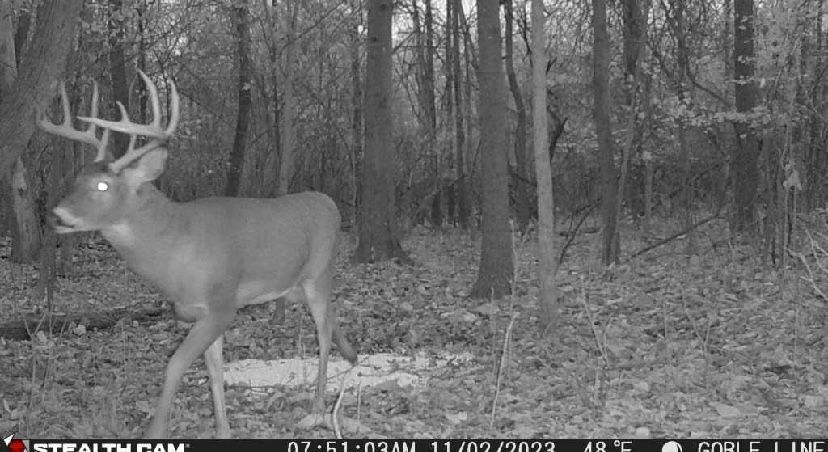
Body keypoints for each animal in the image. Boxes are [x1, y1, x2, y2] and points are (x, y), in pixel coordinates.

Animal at [37, 71, 358, 438]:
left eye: (103, 186)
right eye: (77, 180)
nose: (55, 215)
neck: (176, 251)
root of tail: (329, 202)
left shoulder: (222, 305)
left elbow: (175, 364)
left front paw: (156, 432)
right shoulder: (197, 312)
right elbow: (214, 372)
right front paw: (223, 431)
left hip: (319, 272)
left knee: (322, 332)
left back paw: (317, 407)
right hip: (293, 287)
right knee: (331, 316)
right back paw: (351, 357)